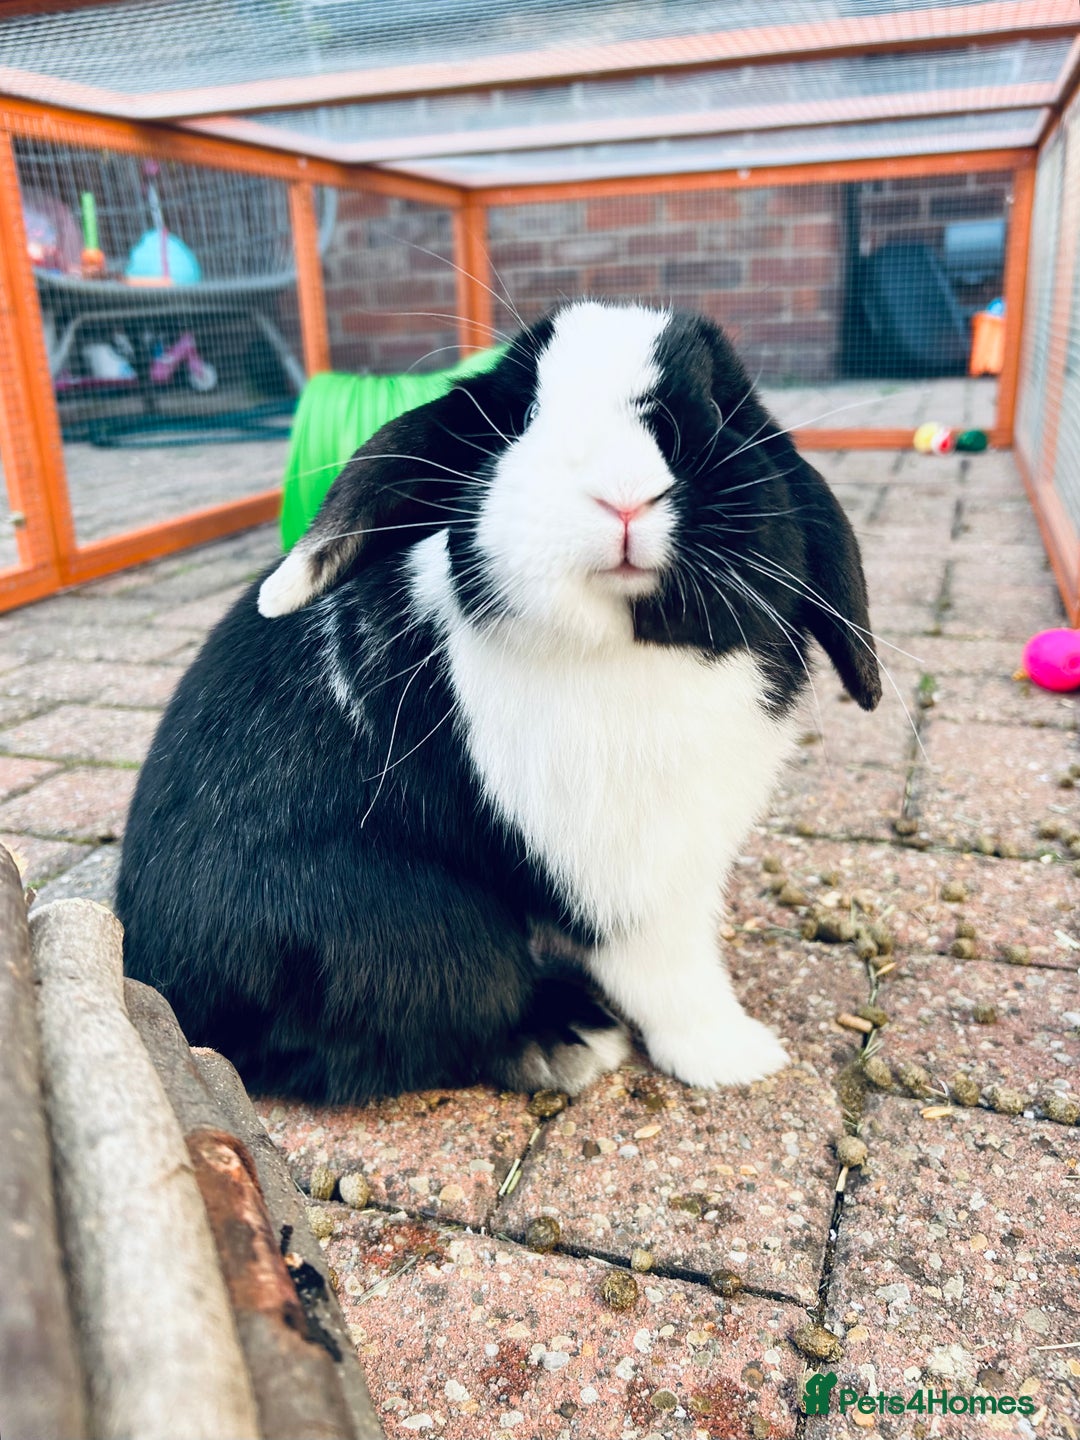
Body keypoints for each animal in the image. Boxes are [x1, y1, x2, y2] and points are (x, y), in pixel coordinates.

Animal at [117, 300, 881, 1103]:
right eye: (522, 417)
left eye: (720, 406)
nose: (622, 494)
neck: (623, 648)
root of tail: (158, 969)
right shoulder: (625, 877)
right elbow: (667, 970)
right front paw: (736, 1055)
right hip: (414, 931)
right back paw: (567, 1038)